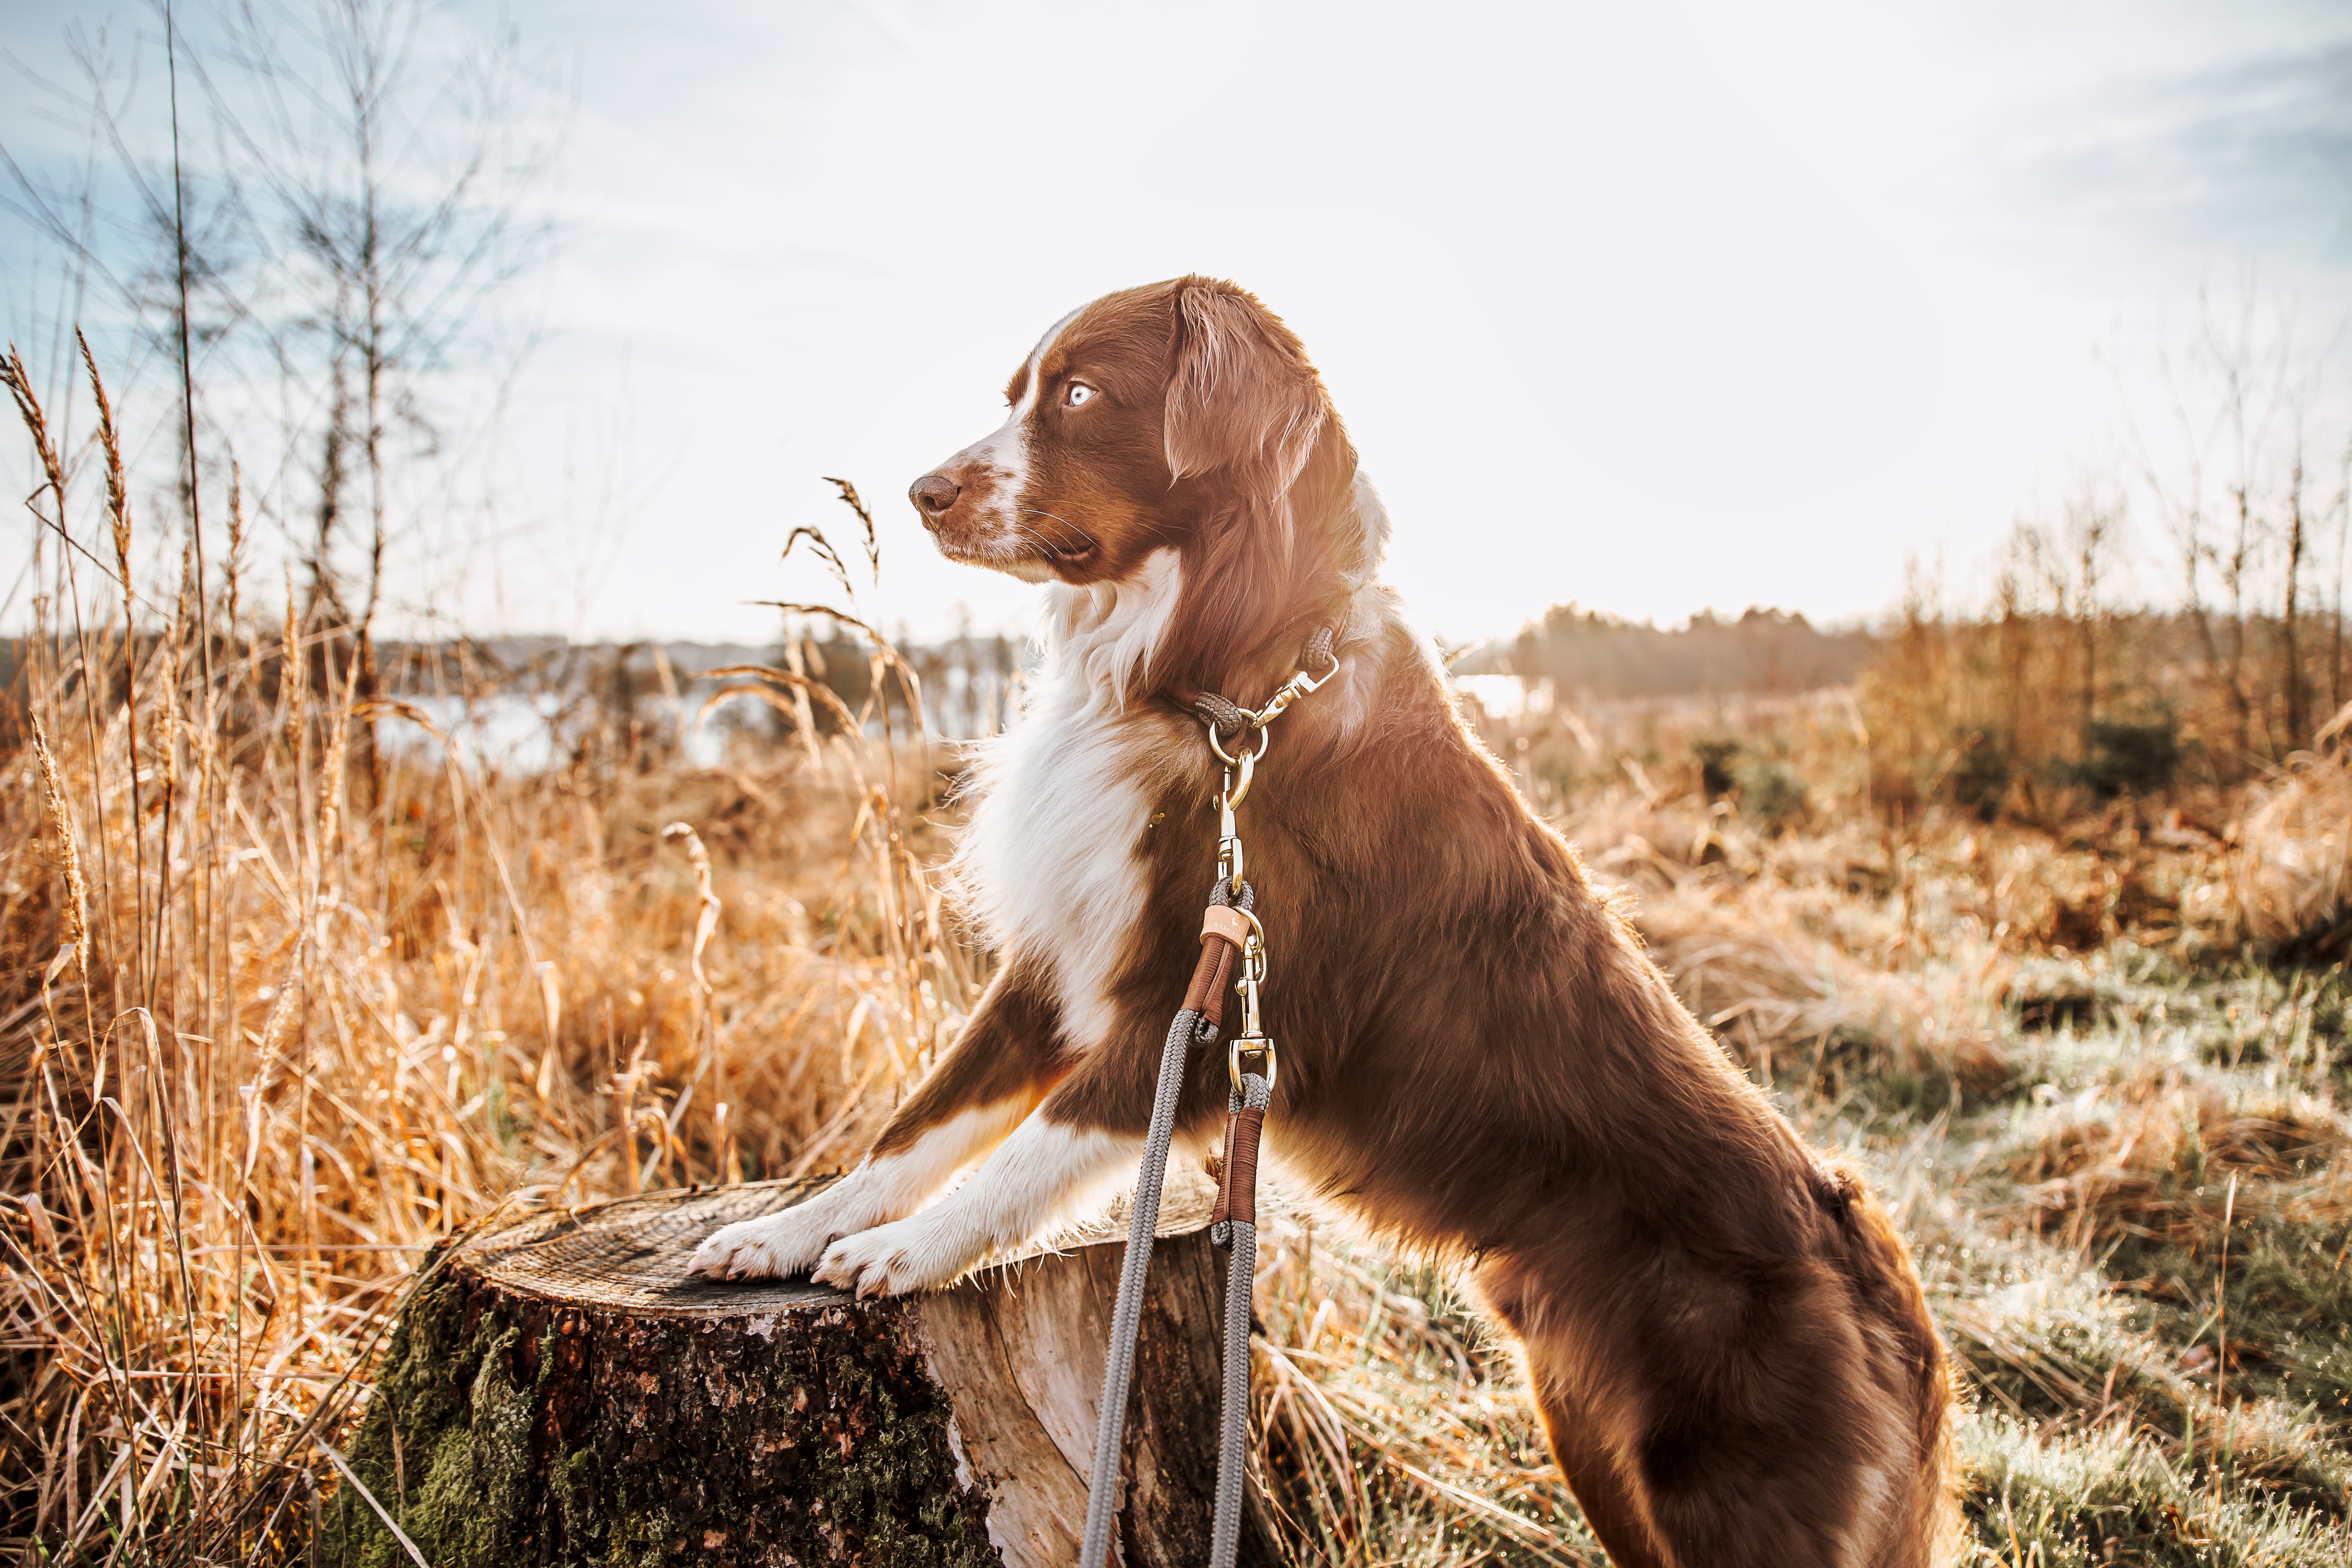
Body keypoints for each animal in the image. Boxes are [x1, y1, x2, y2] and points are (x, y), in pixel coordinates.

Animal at [686, 276, 1957, 1561]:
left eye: (1081, 395)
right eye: (1017, 394)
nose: (921, 491)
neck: (1226, 698)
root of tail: (1878, 1273)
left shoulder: (1196, 1013)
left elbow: (1025, 1156)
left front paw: (902, 1253)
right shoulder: (1059, 970)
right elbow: (919, 1127)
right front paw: (793, 1230)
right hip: (1595, 1443)